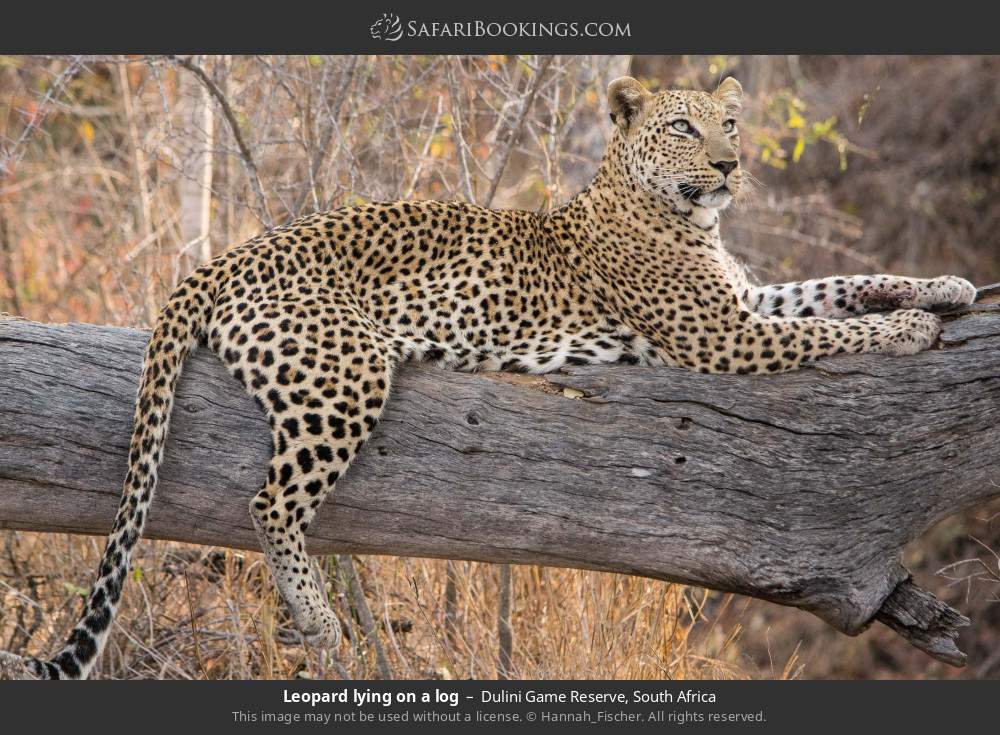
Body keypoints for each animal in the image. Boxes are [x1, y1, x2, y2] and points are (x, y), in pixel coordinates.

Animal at [0, 76, 976, 679]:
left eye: (729, 125)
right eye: (683, 129)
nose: (730, 165)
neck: (682, 218)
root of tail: (219, 260)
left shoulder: (744, 303)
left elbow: (835, 284)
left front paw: (946, 284)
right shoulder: (724, 337)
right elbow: (830, 326)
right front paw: (914, 326)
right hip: (347, 373)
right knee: (268, 500)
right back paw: (317, 620)